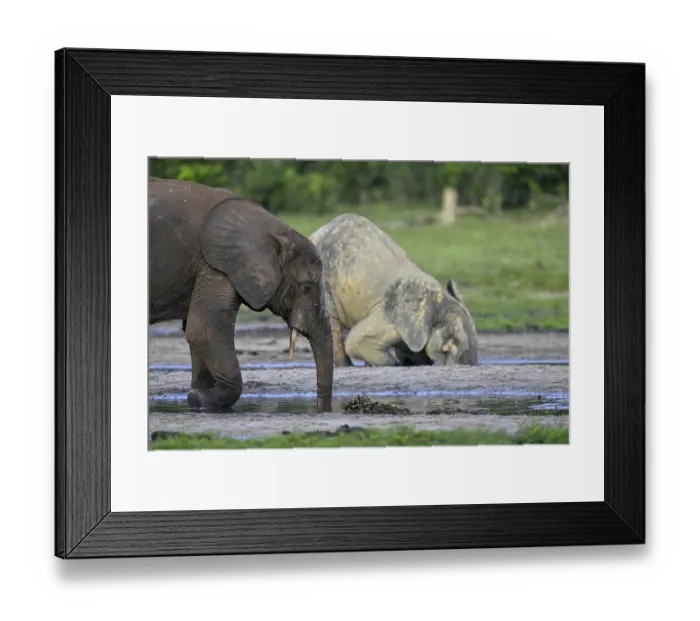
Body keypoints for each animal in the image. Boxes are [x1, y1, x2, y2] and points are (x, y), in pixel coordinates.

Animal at [148, 176, 334, 412]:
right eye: (306, 288)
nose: (321, 410)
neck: (272, 230)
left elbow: (195, 330)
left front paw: (199, 397)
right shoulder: (217, 264)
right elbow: (205, 330)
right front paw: (202, 399)